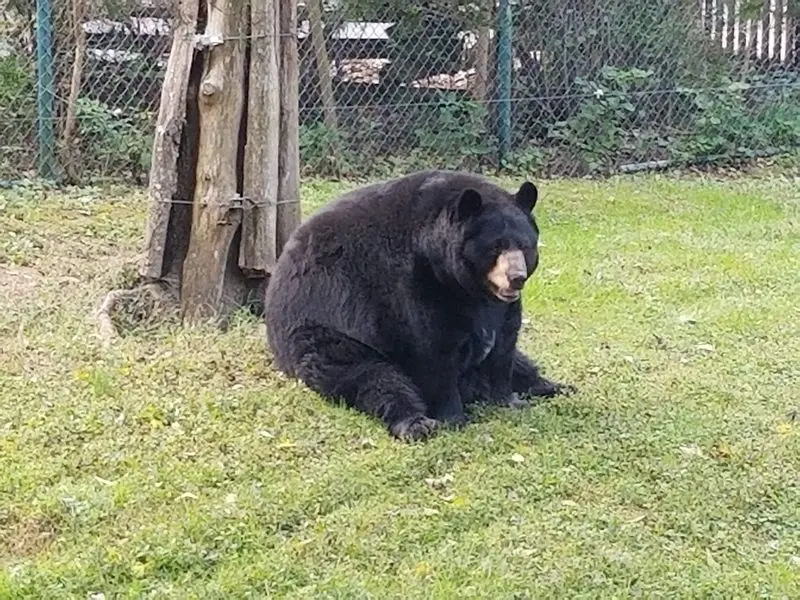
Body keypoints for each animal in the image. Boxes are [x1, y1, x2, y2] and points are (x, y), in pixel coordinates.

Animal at [263, 170, 574, 441]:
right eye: (495, 247)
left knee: (523, 363)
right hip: (325, 333)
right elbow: (433, 348)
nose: (516, 278)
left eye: (525, 246)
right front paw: (453, 417)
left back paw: (554, 385)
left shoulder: (501, 308)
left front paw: (508, 400)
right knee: (370, 377)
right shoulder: (414, 285)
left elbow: (504, 348)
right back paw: (416, 423)